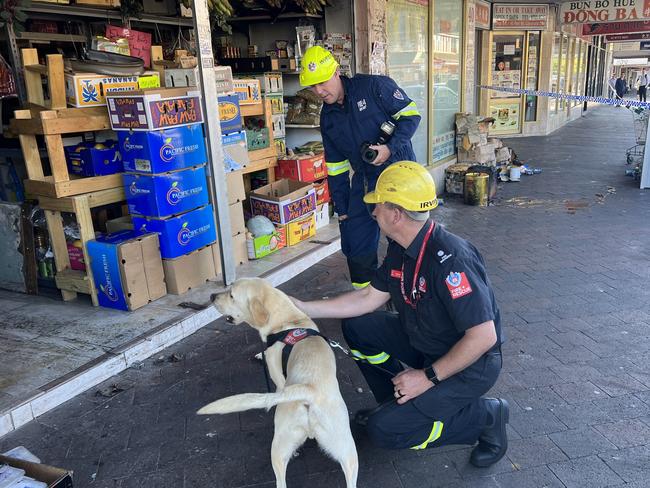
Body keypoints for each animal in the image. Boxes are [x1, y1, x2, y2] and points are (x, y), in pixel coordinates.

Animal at [197, 278, 360, 488]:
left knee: (281, 480)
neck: (288, 320)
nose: (211, 296)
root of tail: (309, 391)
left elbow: (274, 374)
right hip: (348, 452)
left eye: (231, 294)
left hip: (279, 448)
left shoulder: (276, 369)